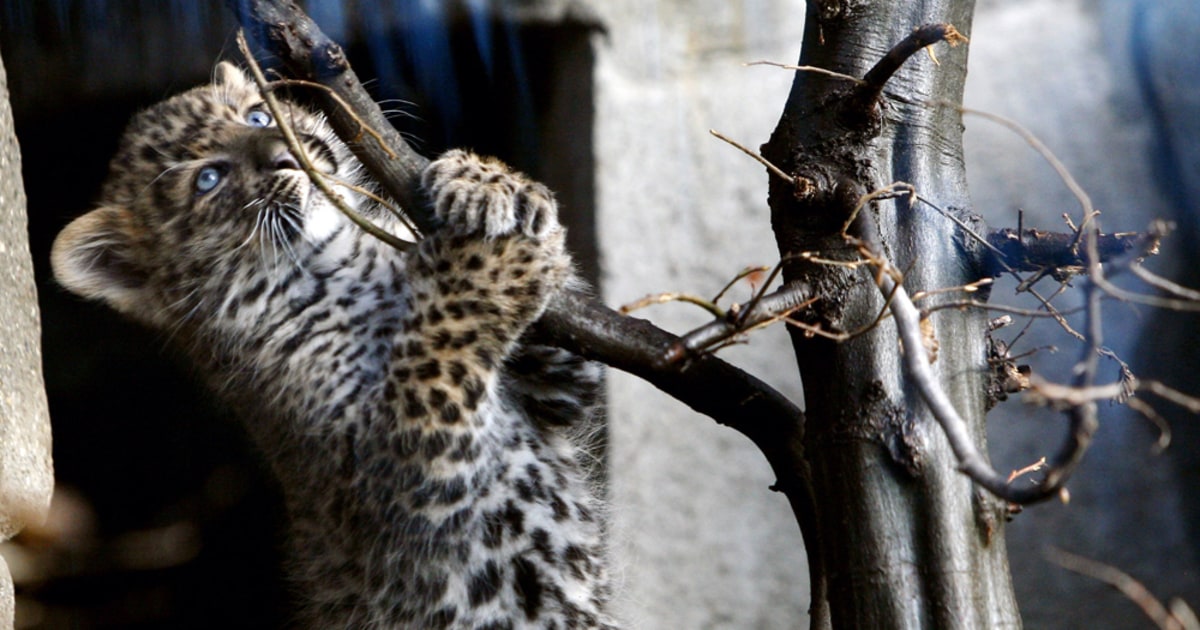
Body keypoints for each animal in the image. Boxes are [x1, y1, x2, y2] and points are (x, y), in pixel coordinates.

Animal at [51, 61, 616, 629]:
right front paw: (488, 259)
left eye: (256, 116)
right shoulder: (401, 462)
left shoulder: (556, 395)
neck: (340, 255)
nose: (284, 150)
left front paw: (486, 183)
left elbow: (571, 372)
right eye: (209, 178)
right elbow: (442, 336)